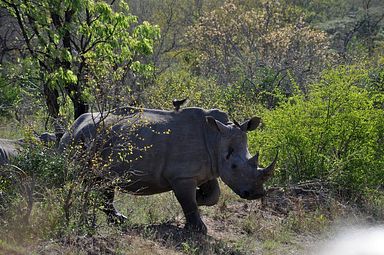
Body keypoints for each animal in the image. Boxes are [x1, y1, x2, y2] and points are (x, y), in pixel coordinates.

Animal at [59, 106, 276, 234]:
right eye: (234, 167)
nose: (257, 194)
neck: (215, 138)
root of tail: (74, 124)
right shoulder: (183, 176)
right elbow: (188, 203)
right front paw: (199, 229)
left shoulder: (208, 168)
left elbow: (213, 194)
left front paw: (200, 197)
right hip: (77, 140)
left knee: (102, 183)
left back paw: (119, 220)